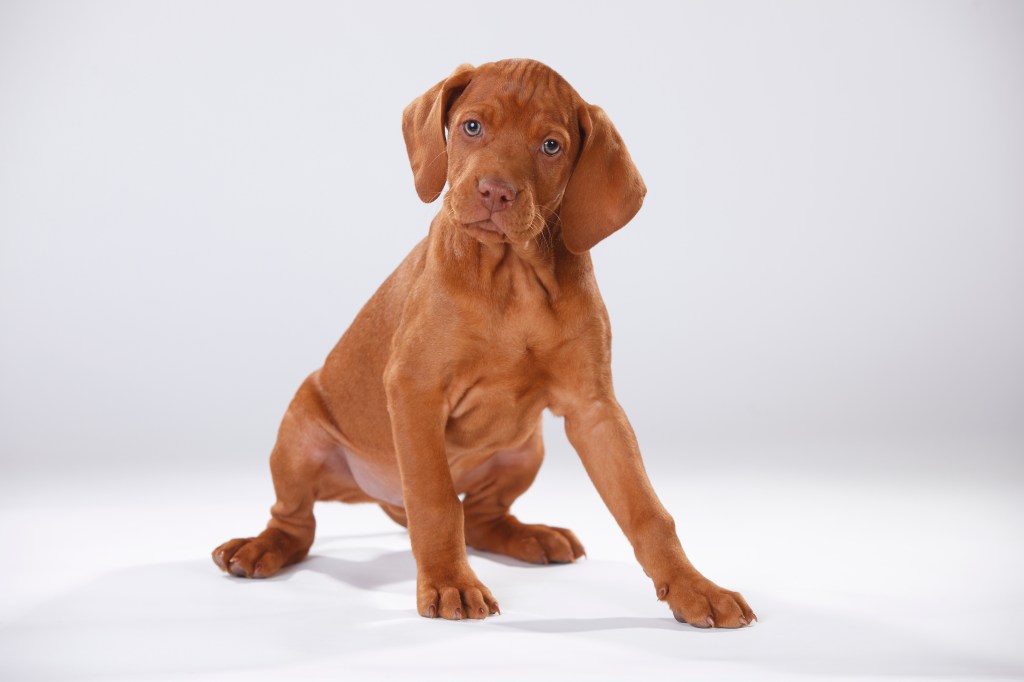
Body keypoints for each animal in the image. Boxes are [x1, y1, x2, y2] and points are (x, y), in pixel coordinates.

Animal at [211, 59, 757, 626]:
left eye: (551, 145)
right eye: (472, 126)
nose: (496, 191)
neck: (511, 277)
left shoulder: (595, 409)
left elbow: (647, 510)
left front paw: (695, 587)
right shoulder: (415, 388)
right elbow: (434, 501)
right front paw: (450, 582)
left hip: (525, 448)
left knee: (479, 515)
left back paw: (532, 536)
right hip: (300, 435)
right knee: (298, 521)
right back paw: (259, 548)